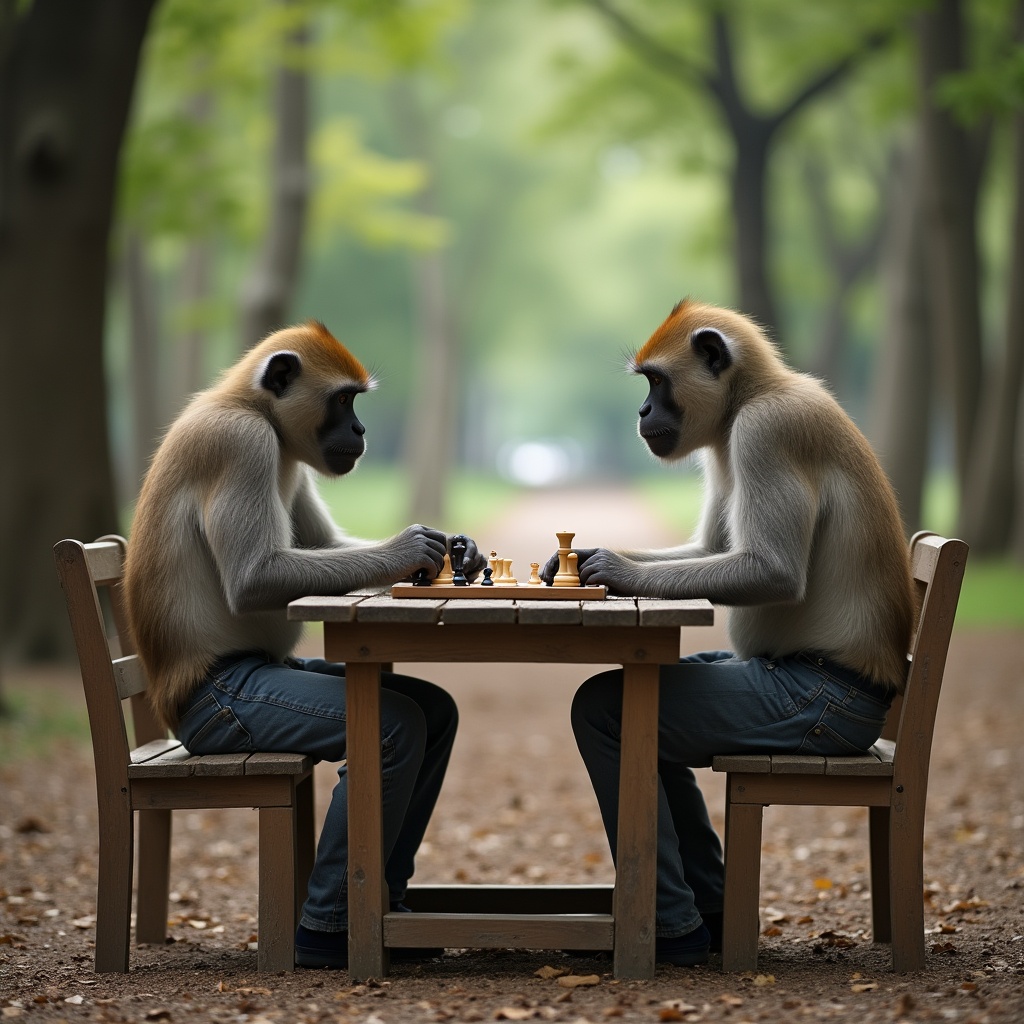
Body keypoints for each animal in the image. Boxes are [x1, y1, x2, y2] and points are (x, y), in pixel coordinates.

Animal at [124, 320, 481, 967]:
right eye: (345, 401)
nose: (361, 431)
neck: (249, 405)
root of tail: (170, 707)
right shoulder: (243, 443)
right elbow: (255, 578)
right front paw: (414, 549)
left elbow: (325, 544)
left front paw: (461, 552)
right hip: (239, 708)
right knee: (398, 727)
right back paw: (322, 939)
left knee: (432, 712)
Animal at [556, 299, 916, 965]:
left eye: (655, 383)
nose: (641, 413)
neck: (754, 392)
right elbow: (710, 550)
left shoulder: (763, 432)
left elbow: (770, 570)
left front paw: (611, 570)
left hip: (799, 708)